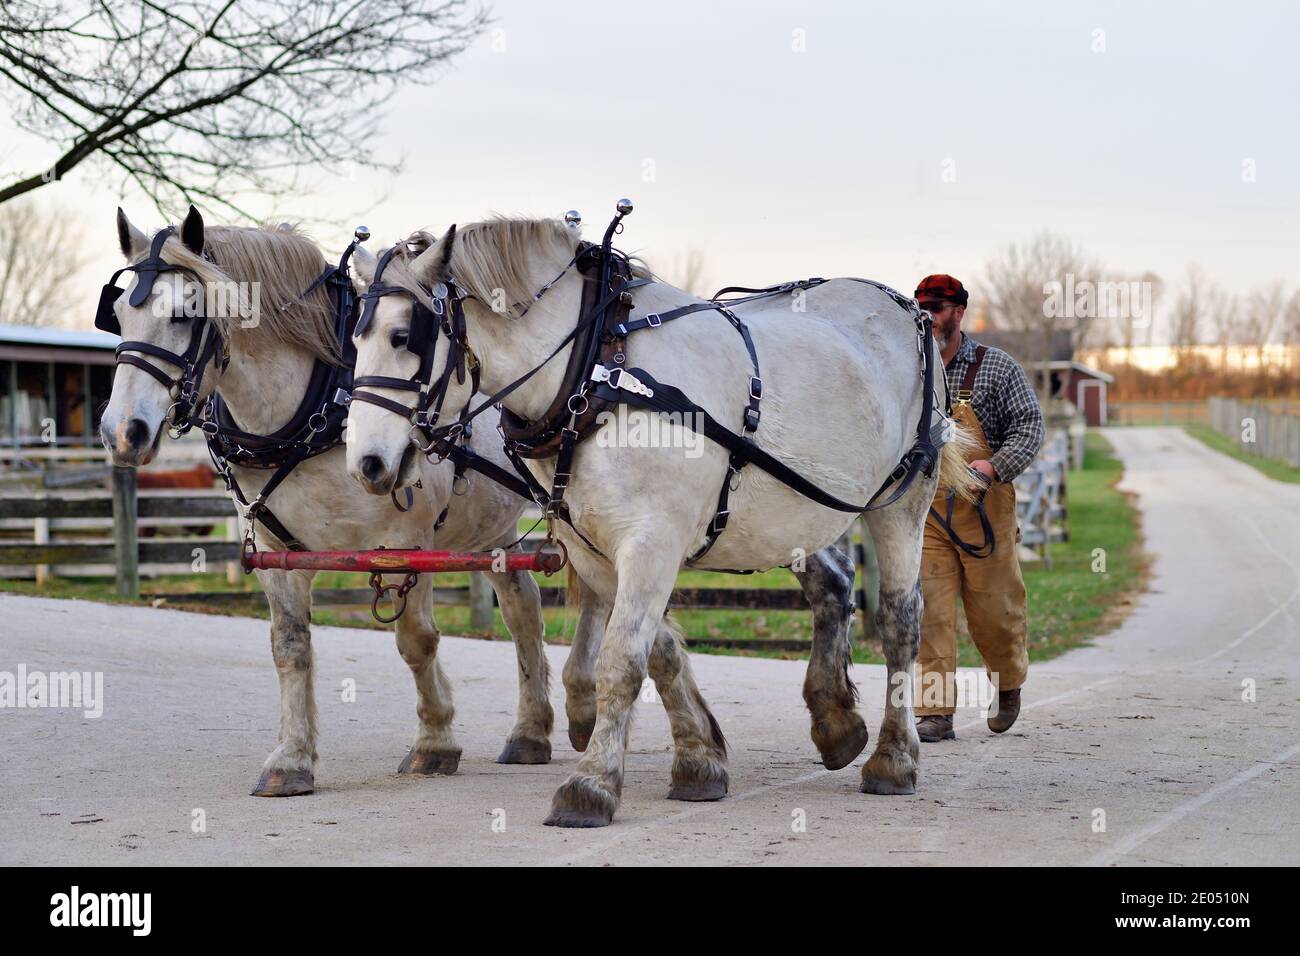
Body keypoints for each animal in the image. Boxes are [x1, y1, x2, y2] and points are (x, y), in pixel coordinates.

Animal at [97, 207, 558, 796]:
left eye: (183, 314)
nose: (121, 432)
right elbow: (289, 647)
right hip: (491, 534)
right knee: (523, 607)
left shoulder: (408, 542)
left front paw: (435, 741)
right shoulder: (275, 548)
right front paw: (291, 759)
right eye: (117, 316)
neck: (311, 412)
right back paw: (534, 727)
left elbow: (417, 640)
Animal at [342, 214, 977, 827]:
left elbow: (621, 661)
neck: (597, 370)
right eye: (356, 339)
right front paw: (699, 760)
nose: (366, 463)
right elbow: (660, 652)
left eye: (404, 337)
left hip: (901, 502)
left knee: (900, 620)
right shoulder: (599, 550)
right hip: (795, 514)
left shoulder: (651, 542)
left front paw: (592, 786)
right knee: (834, 586)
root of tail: (905, 307)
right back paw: (835, 721)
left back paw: (894, 757)